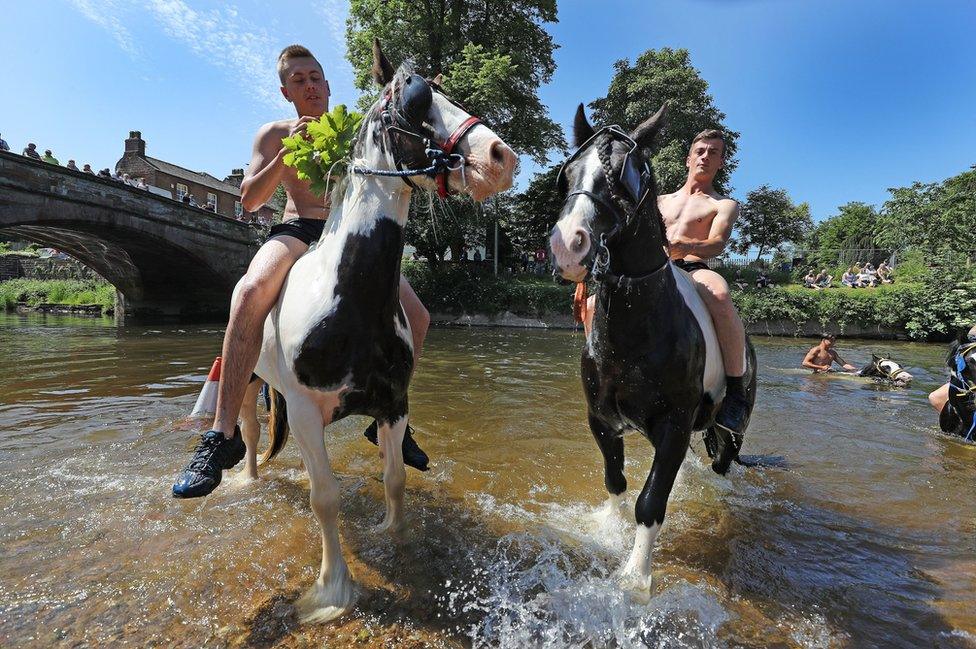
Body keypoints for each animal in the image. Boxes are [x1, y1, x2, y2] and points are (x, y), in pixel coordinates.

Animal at [235, 41, 516, 624]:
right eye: (416, 98)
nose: (501, 156)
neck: (348, 298)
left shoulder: (392, 403)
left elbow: (394, 479)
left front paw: (396, 538)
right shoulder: (303, 408)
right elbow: (325, 499)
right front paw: (332, 591)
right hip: (251, 379)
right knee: (249, 434)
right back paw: (241, 477)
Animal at [544, 105, 760, 596]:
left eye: (625, 174)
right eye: (569, 173)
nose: (568, 245)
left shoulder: (674, 425)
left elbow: (651, 501)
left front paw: (634, 579)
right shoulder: (603, 420)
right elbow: (616, 482)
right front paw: (609, 534)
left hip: (728, 428)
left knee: (723, 464)